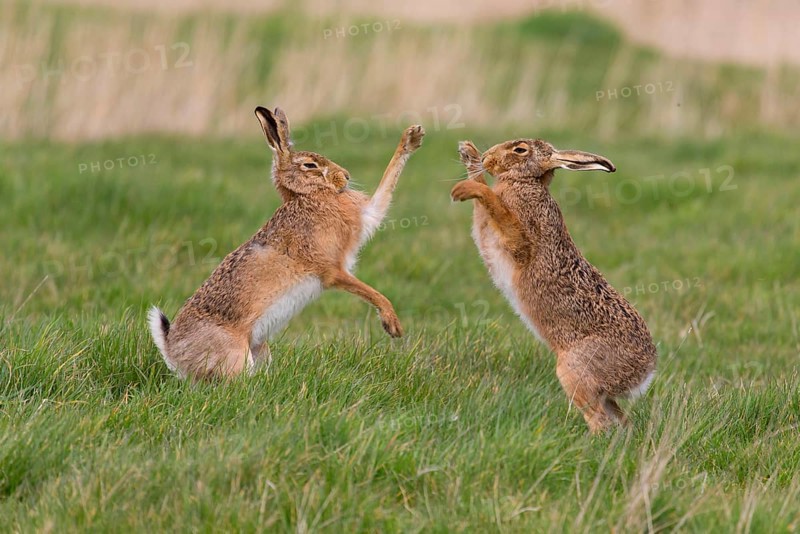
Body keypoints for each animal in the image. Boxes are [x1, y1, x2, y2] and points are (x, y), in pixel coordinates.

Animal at [148, 106, 425, 380]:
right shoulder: (333, 270)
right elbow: (369, 290)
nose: (346, 176)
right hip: (235, 355)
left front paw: (413, 138)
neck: (306, 195)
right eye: (310, 165)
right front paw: (393, 325)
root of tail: (174, 352)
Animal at [451, 138, 656, 433]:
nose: (488, 156)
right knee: (618, 419)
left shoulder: (521, 239)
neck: (525, 181)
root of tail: (646, 372)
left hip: (574, 370)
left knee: (600, 420)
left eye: (520, 150)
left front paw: (463, 190)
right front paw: (468, 152)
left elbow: (494, 203)